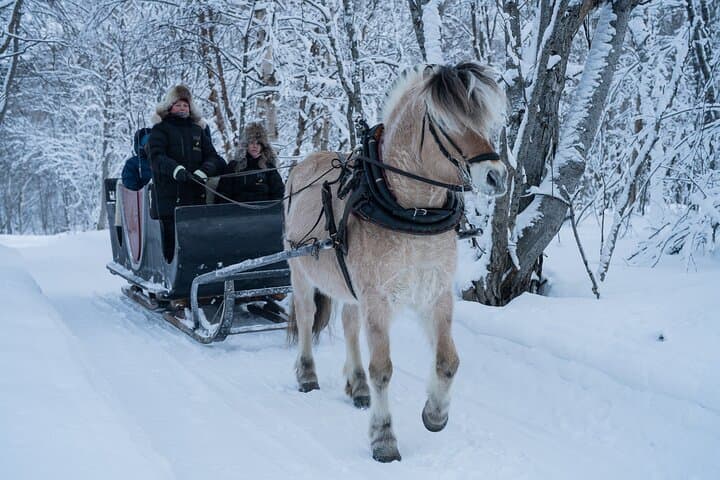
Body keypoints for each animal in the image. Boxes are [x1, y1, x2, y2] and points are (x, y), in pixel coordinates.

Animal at [283, 62, 507, 462]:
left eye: (484, 118)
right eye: (444, 122)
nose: (496, 175)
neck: (411, 212)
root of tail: (303, 163)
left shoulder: (436, 294)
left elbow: (448, 361)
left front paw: (435, 414)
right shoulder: (377, 299)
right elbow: (383, 370)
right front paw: (384, 438)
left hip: (348, 285)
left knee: (349, 324)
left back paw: (357, 387)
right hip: (301, 271)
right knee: (307, 318)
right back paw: (307, 375)